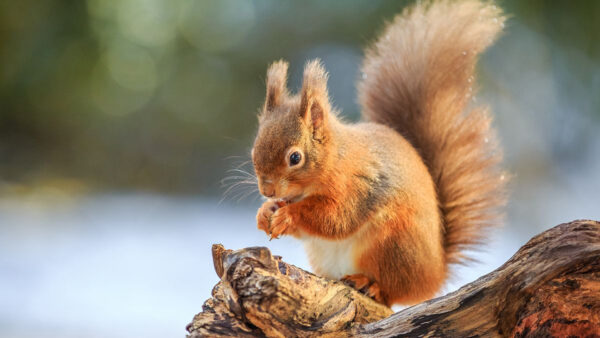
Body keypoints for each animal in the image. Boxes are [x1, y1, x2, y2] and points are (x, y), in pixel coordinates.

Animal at [248, 0, 506, 306]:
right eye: (253, 150)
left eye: (295, 158)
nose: (267, 190)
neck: (335, 160)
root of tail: (434, 275)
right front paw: (265, 212)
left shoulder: (358, 187)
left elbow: (335, 218)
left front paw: (288, 215)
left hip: (393, 245)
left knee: (391, 292)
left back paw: (369, 284)